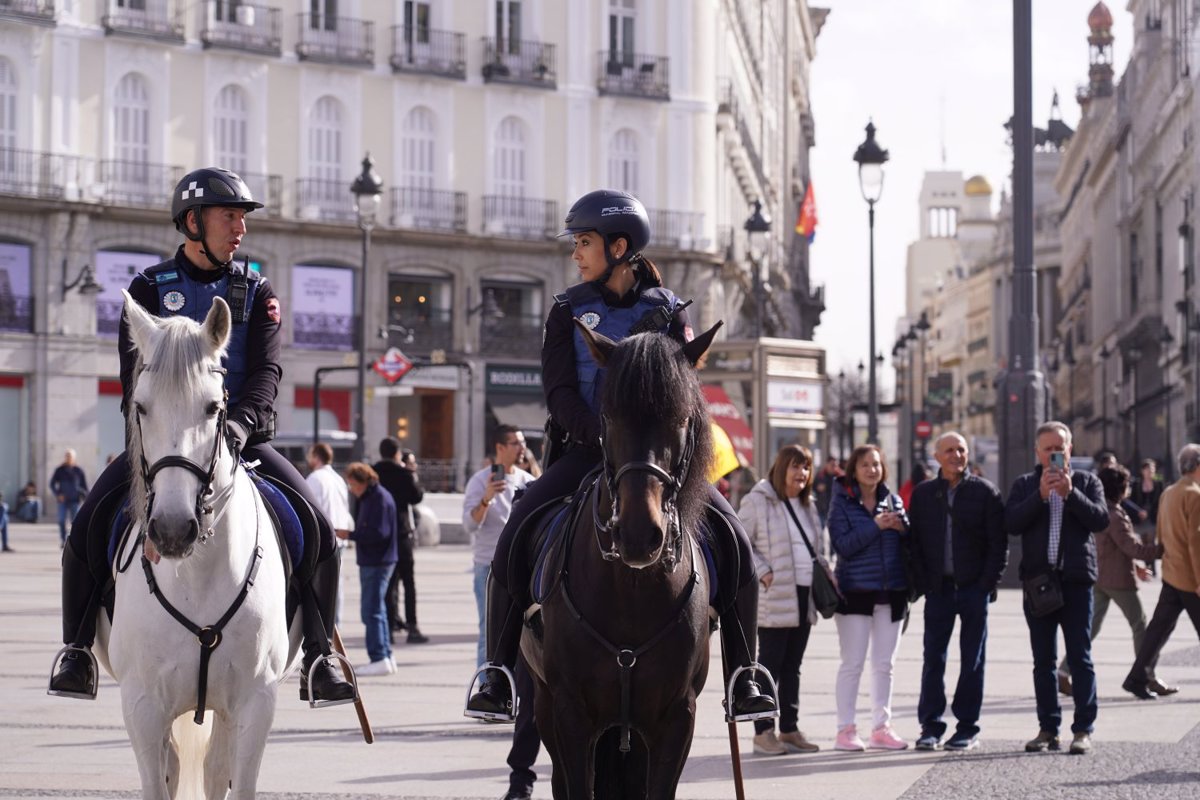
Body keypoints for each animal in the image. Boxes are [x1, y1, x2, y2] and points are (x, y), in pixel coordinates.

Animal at [93, 291, 300, 796]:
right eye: (141, 406)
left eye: (212, 407)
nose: (171, 529)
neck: (198, 574)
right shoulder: (143, 707)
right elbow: (158, 781)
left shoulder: (254, 703)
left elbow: (237, 783)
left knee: (214, 768)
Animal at [518, 321, 720, 800]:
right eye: (608, 418)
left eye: (682, 419)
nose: (638, 535)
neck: (630, 591)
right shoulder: (570, 714)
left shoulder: (676, 718)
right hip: (545, 702)